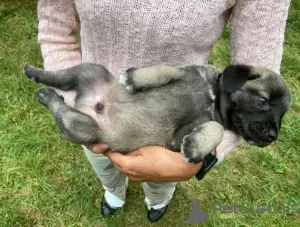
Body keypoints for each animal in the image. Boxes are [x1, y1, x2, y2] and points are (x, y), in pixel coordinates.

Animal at [23, 63, 290, 165]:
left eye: (283, 115)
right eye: (263, 100)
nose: (273, 136)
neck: (212, 97)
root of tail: (86, 103)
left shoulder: (178, 137)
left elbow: (215, 129)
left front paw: (195, 147)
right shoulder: (184, 70)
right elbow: (166, 69)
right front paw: (133, 78)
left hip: (84, 126)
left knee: (62, 107)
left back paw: (48, 95)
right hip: (90, 73)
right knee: (59, 77)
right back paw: (38, 77)